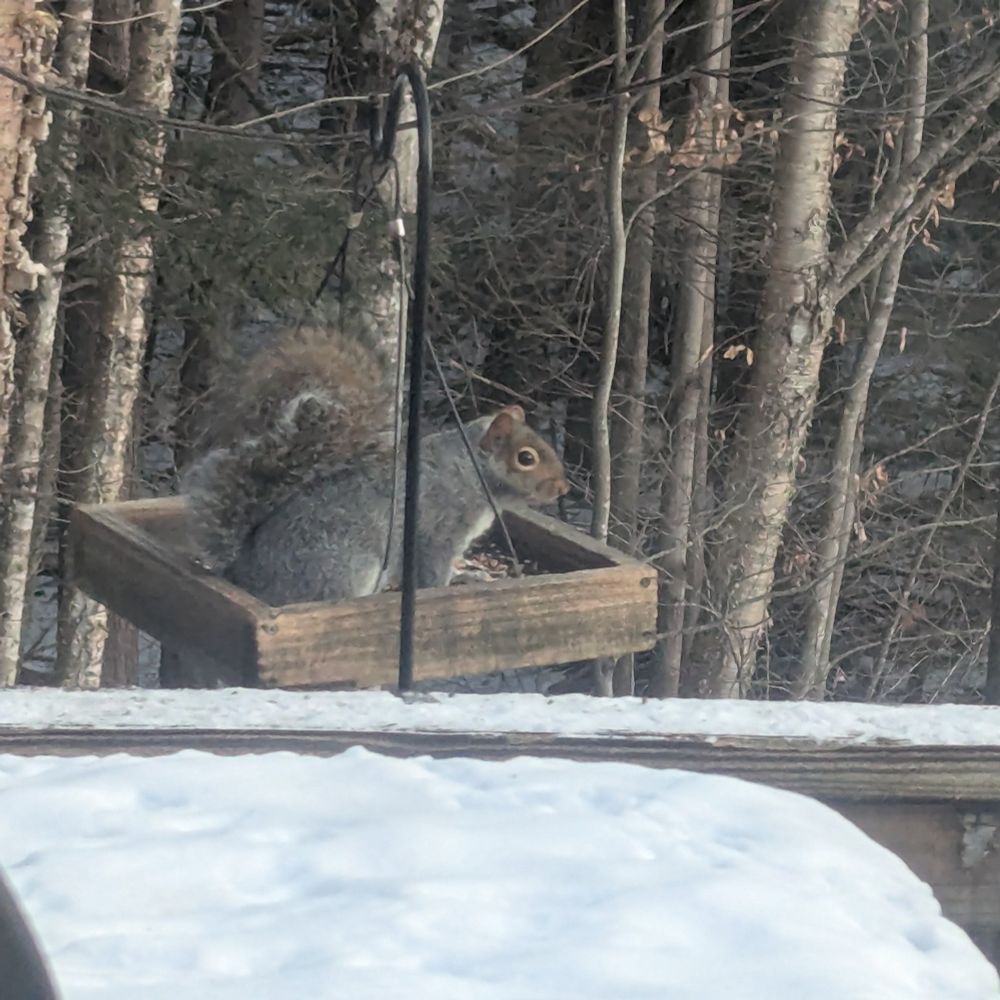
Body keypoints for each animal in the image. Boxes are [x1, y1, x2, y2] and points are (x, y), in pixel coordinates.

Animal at [181, 325, 570, 606]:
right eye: (526, 458)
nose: (563, 487)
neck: (469, 471)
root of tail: (246, 576)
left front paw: (469, 572)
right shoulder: (438, 530)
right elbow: (433, 573)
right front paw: (457, 582)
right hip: (347, 567)